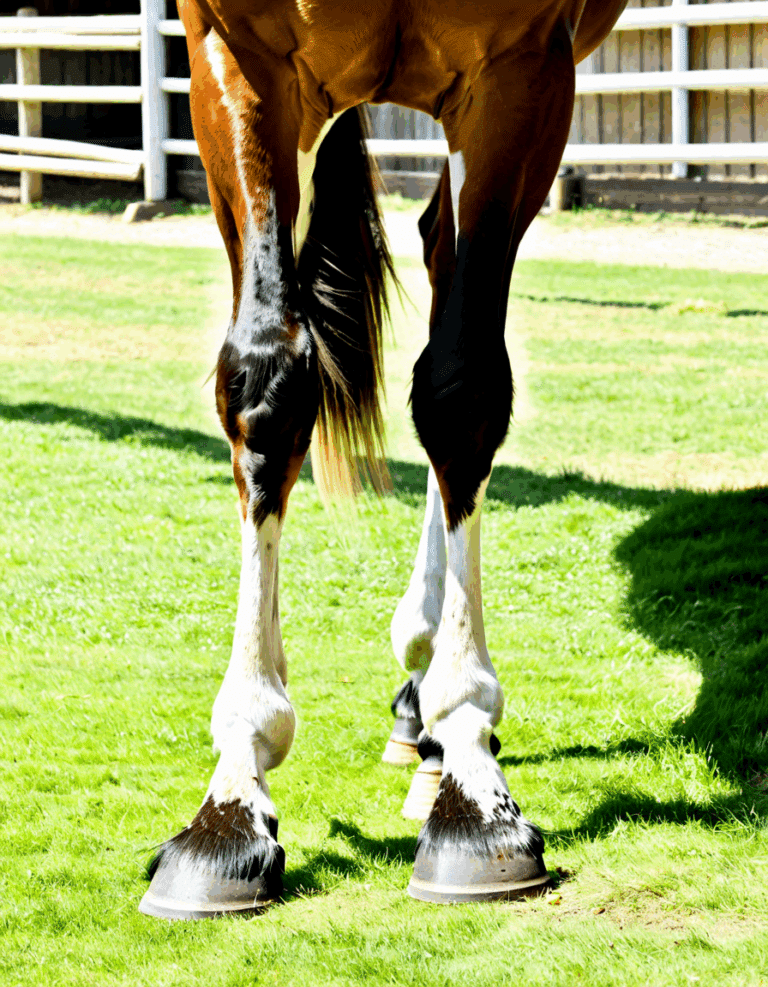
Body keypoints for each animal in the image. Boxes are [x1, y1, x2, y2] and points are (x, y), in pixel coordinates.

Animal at [139, 0, 627, 919]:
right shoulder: (239, 56)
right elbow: (266, 375)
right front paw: (232, 798)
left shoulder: (520, 70)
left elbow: (462, 386)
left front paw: (472, 780)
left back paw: (431, 709)